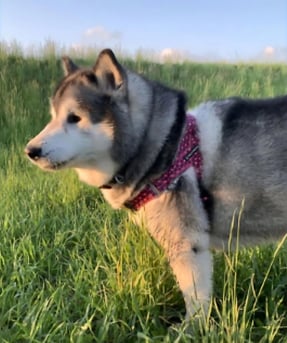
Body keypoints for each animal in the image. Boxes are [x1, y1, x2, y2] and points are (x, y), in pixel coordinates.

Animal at [25, 48, 287, 320]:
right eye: (53, 117)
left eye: (74, 117)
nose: (30, 151)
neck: (166, 147)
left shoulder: (187, 244)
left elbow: (195, 298)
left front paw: (192, 327)